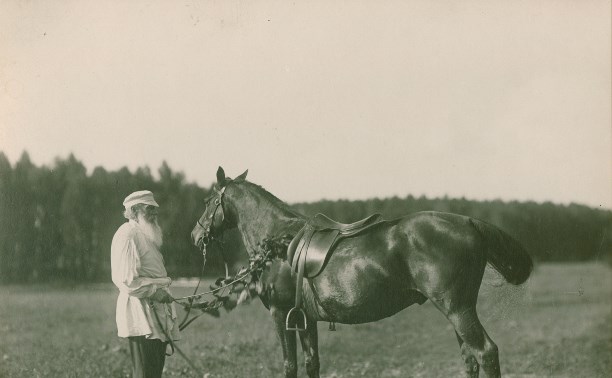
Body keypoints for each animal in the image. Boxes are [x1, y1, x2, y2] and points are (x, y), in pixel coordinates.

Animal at [190, 168, 532, 378]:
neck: (277, 242)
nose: (195, 235)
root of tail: (468, 221)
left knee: (486, 352)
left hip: (458, 309)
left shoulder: (280, 313)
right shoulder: (305, 318)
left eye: (208, 201)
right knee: (470, 357)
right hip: (457, 311)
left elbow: (290, 366)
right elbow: (312, 363)